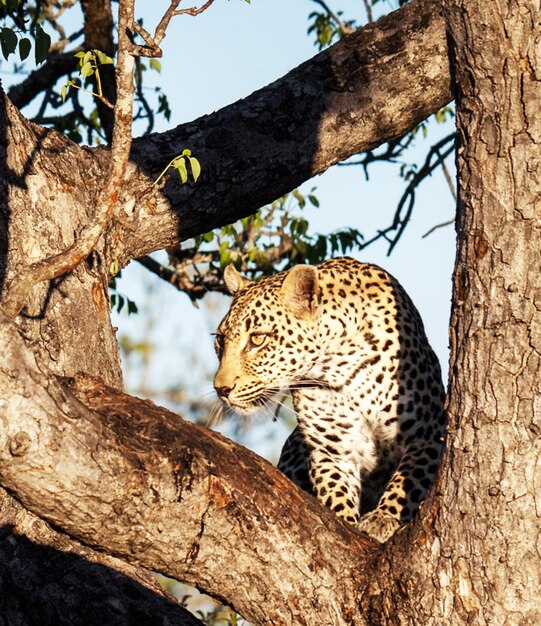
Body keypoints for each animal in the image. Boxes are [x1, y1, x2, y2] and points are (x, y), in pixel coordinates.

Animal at [213, 256, 446, 540]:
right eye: (220, 340)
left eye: (257, 339)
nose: (221, 389)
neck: (337, 367)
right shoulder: (332, 450)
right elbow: (334, 492)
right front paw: (347, 520)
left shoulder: (427, 433)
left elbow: (408, 479)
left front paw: (384, 517)